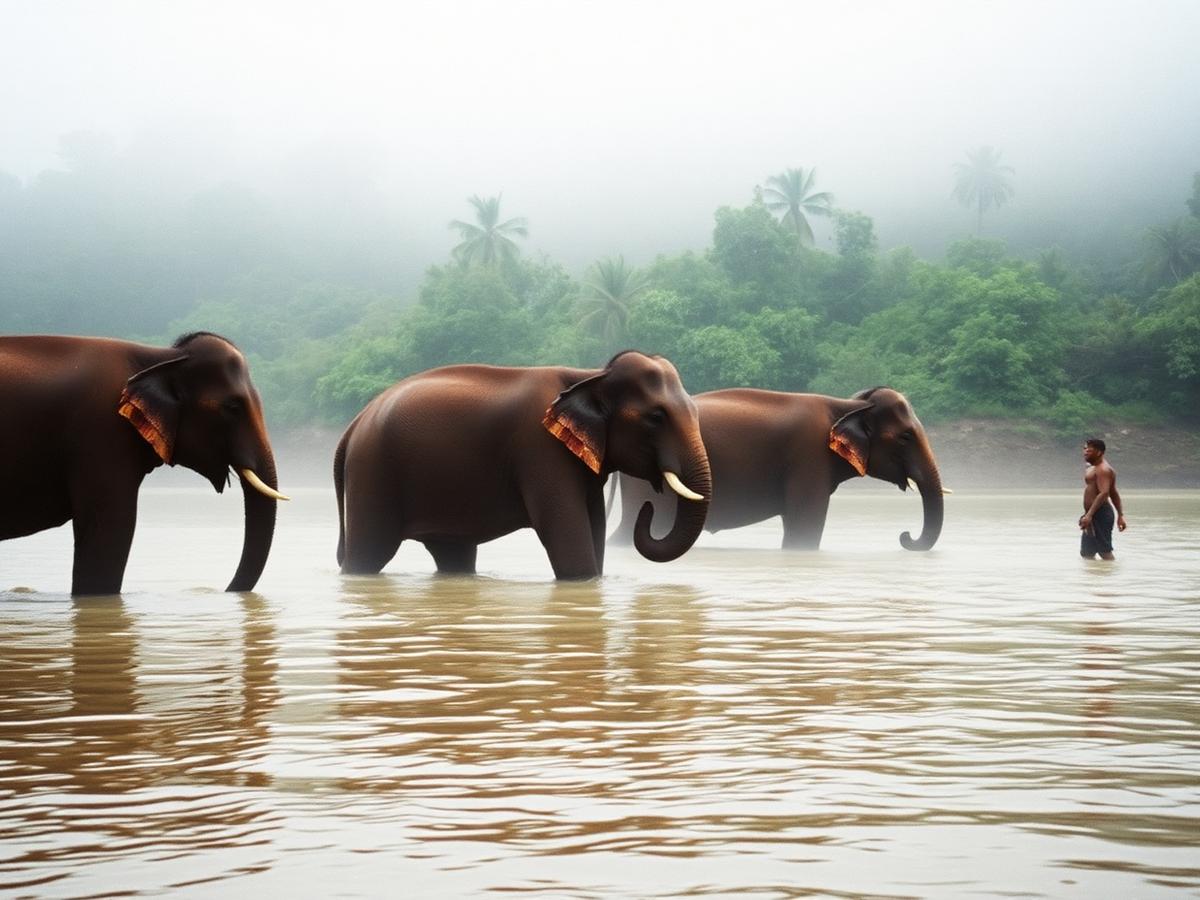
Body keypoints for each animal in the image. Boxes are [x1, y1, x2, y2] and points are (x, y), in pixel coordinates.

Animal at [334, 350, 712, 579]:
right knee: (369, 554)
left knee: (453, 554)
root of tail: (351, 428)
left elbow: (594, 523)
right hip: (373, 471)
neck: (591, 375)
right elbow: (562, 527)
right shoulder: (539, 451)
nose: (648, 507)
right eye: (656, 417)